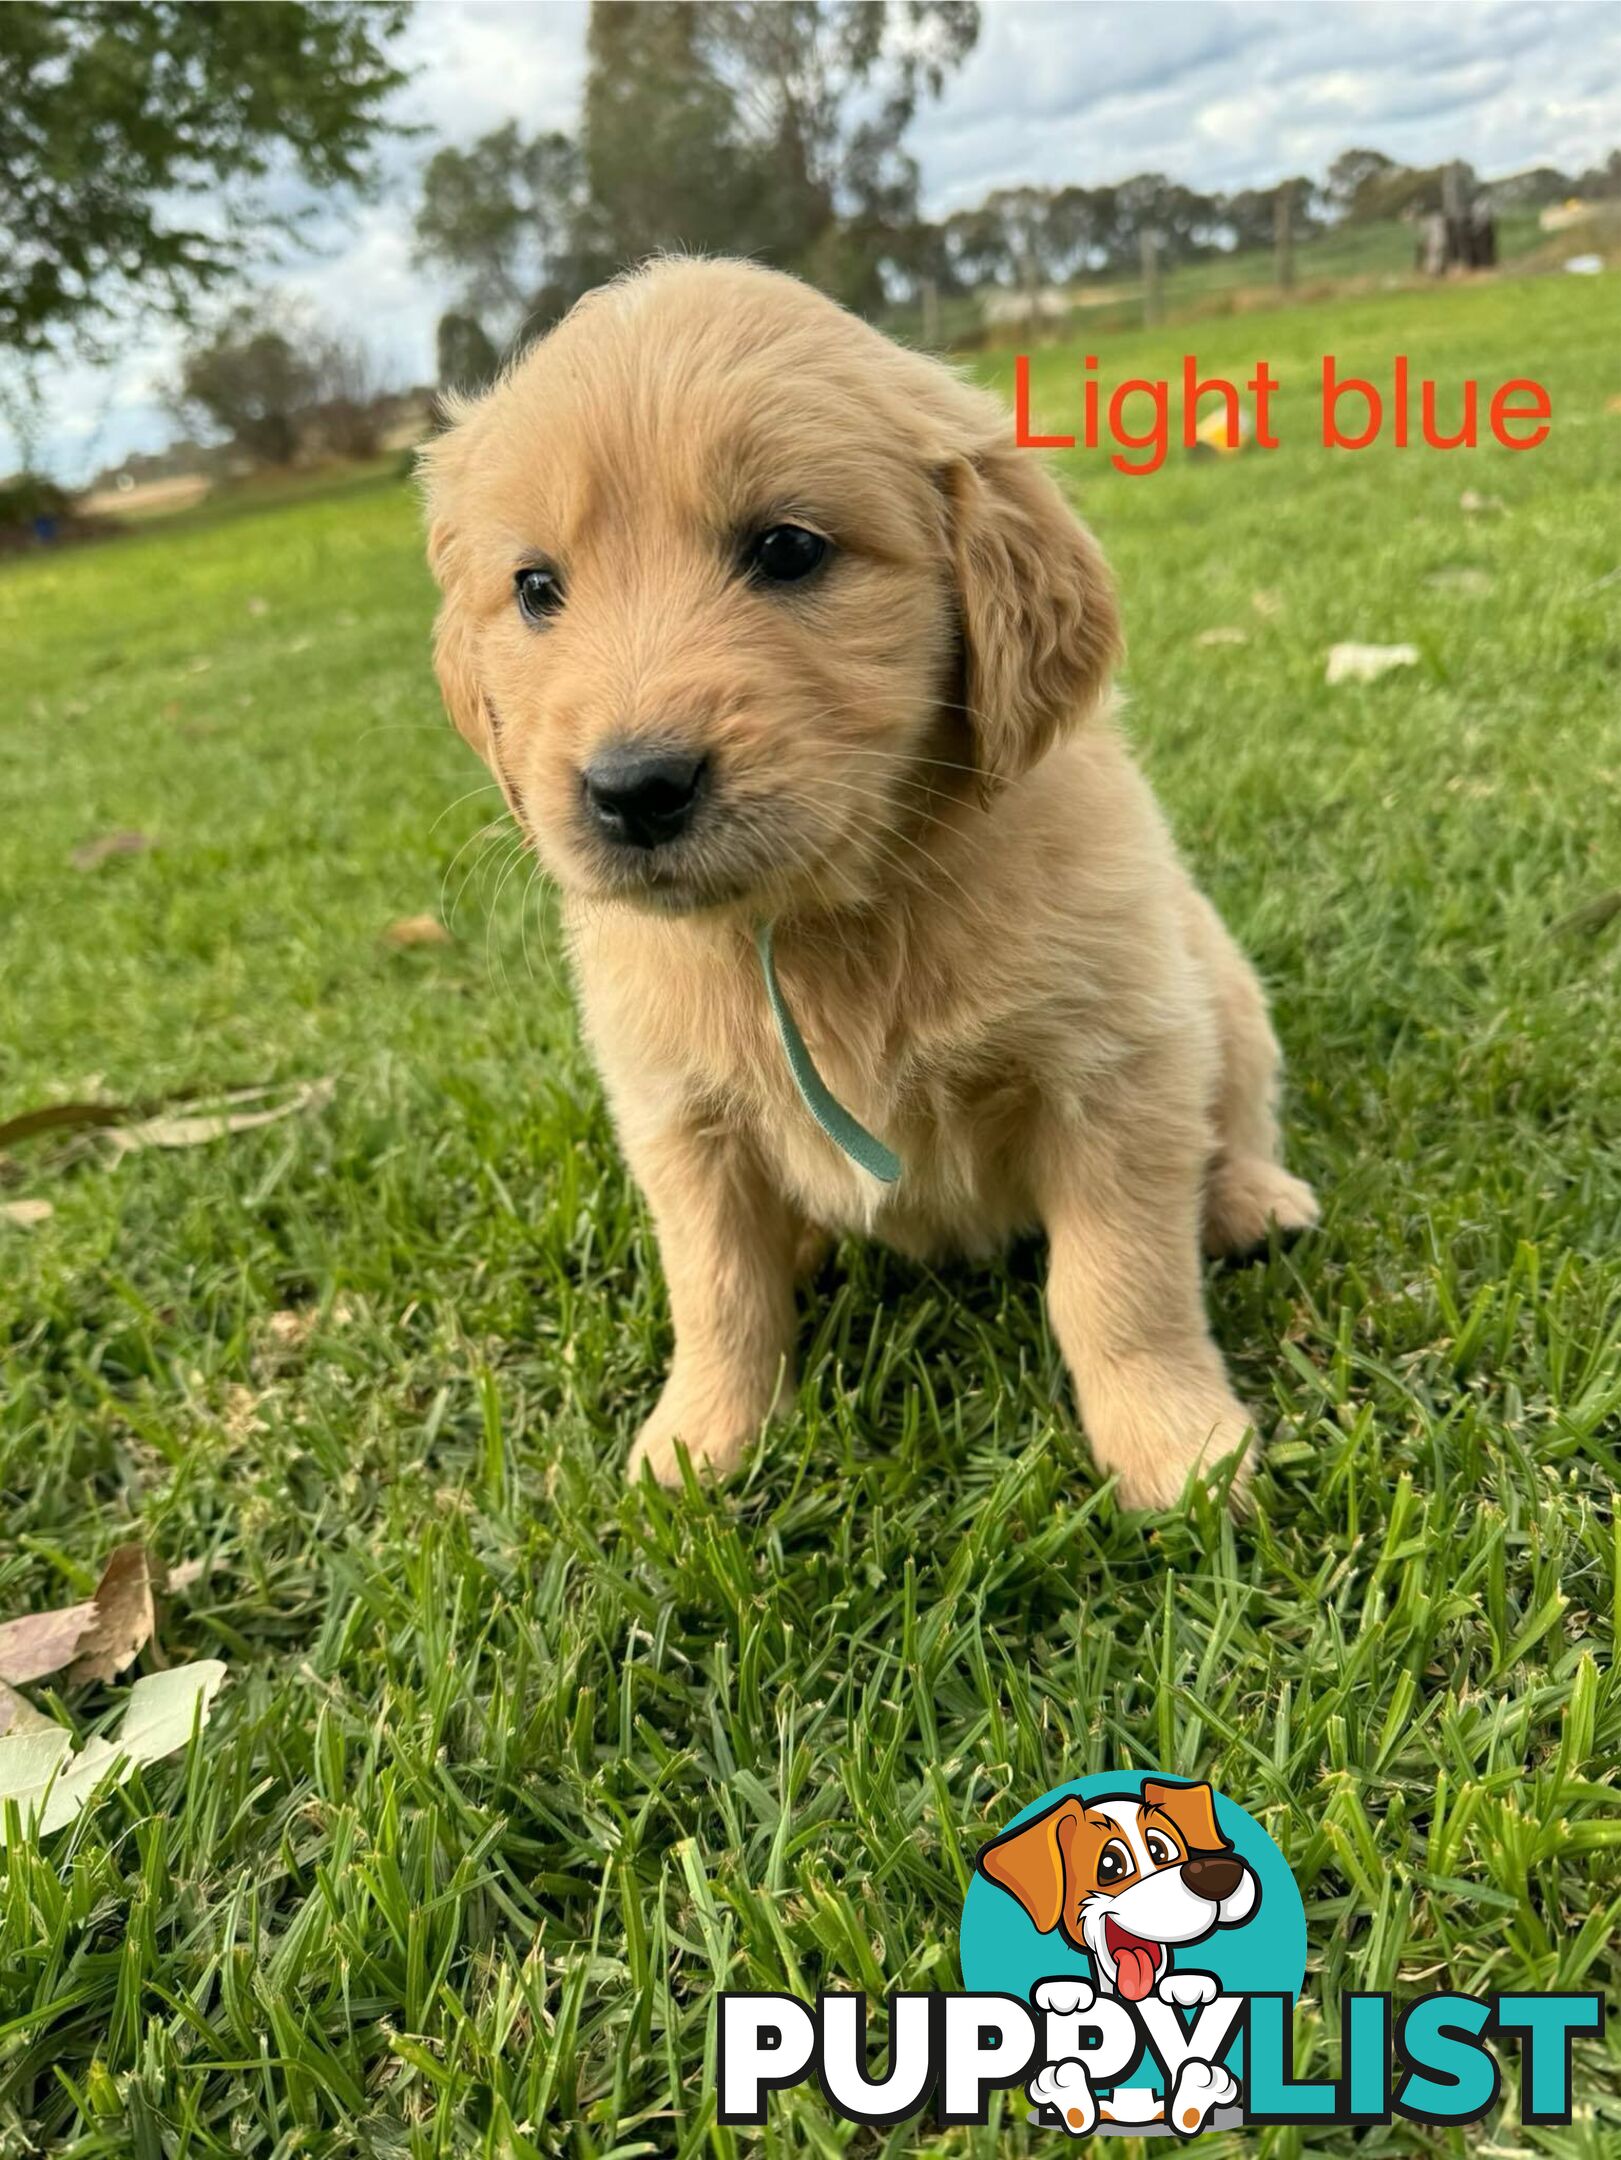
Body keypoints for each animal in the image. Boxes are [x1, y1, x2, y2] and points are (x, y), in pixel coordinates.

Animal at [421, 257, 1322, 1503]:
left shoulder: (1116, 1065)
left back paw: (1247, 1197)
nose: (633, 787)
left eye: (789, 549)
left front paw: (1173, 1444)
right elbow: (716, 1291)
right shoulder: (676, 1116)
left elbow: (1119, 1282)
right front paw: (697, 1441)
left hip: (1220, 990)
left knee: (1234, 1114)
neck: (818, 917)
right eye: (536, 588)